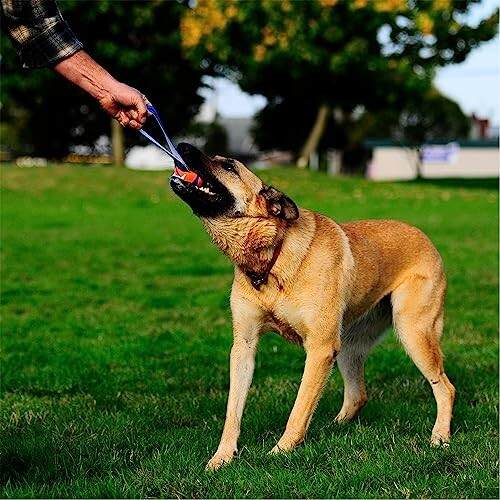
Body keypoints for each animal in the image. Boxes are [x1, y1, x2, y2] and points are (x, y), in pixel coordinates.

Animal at [170, 143, 456, 470]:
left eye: (229, 166)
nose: (182, 146)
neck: (272, 258)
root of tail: (425, 238)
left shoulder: (319, 348)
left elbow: (299, 408)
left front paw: (280, 451)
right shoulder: (244, 346)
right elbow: (233, 411)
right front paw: (222, 458)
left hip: (413, 332)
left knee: (445, 388)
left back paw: (440, 436)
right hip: (349, 345)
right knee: (358, 395)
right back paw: (335, 426)